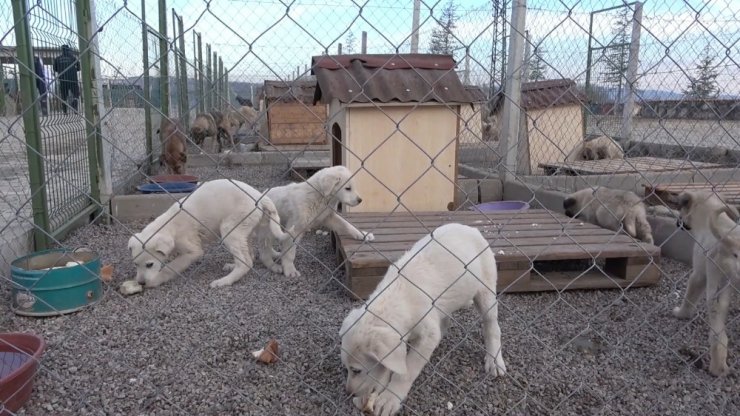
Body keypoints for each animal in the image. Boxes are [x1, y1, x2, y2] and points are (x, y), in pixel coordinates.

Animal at [127, 179, 290, 290]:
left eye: (149, 264)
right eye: (135, 264)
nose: (141, 283)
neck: (169, 226)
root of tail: (260, 197)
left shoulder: (193, 251)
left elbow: (171, 267)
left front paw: (156, 280)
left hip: (230, 229)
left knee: (246, 263)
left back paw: (224, 281)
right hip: (244, 230)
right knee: (249, 255)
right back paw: (232, 266)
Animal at [338, 223, 506, 414]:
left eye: (356, 370)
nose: (349, 393)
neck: (398, 297)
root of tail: (470, 228)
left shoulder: (427, 333)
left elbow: (407, 370)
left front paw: (389, 398)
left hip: (486, 291)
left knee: (492, 326)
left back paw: (495, 361)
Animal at [672, 192, 736, 376]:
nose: (677, 222)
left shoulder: (699, 275)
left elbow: (689, 297)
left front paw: (682, 314)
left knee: (718, 336)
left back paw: (717, 367)